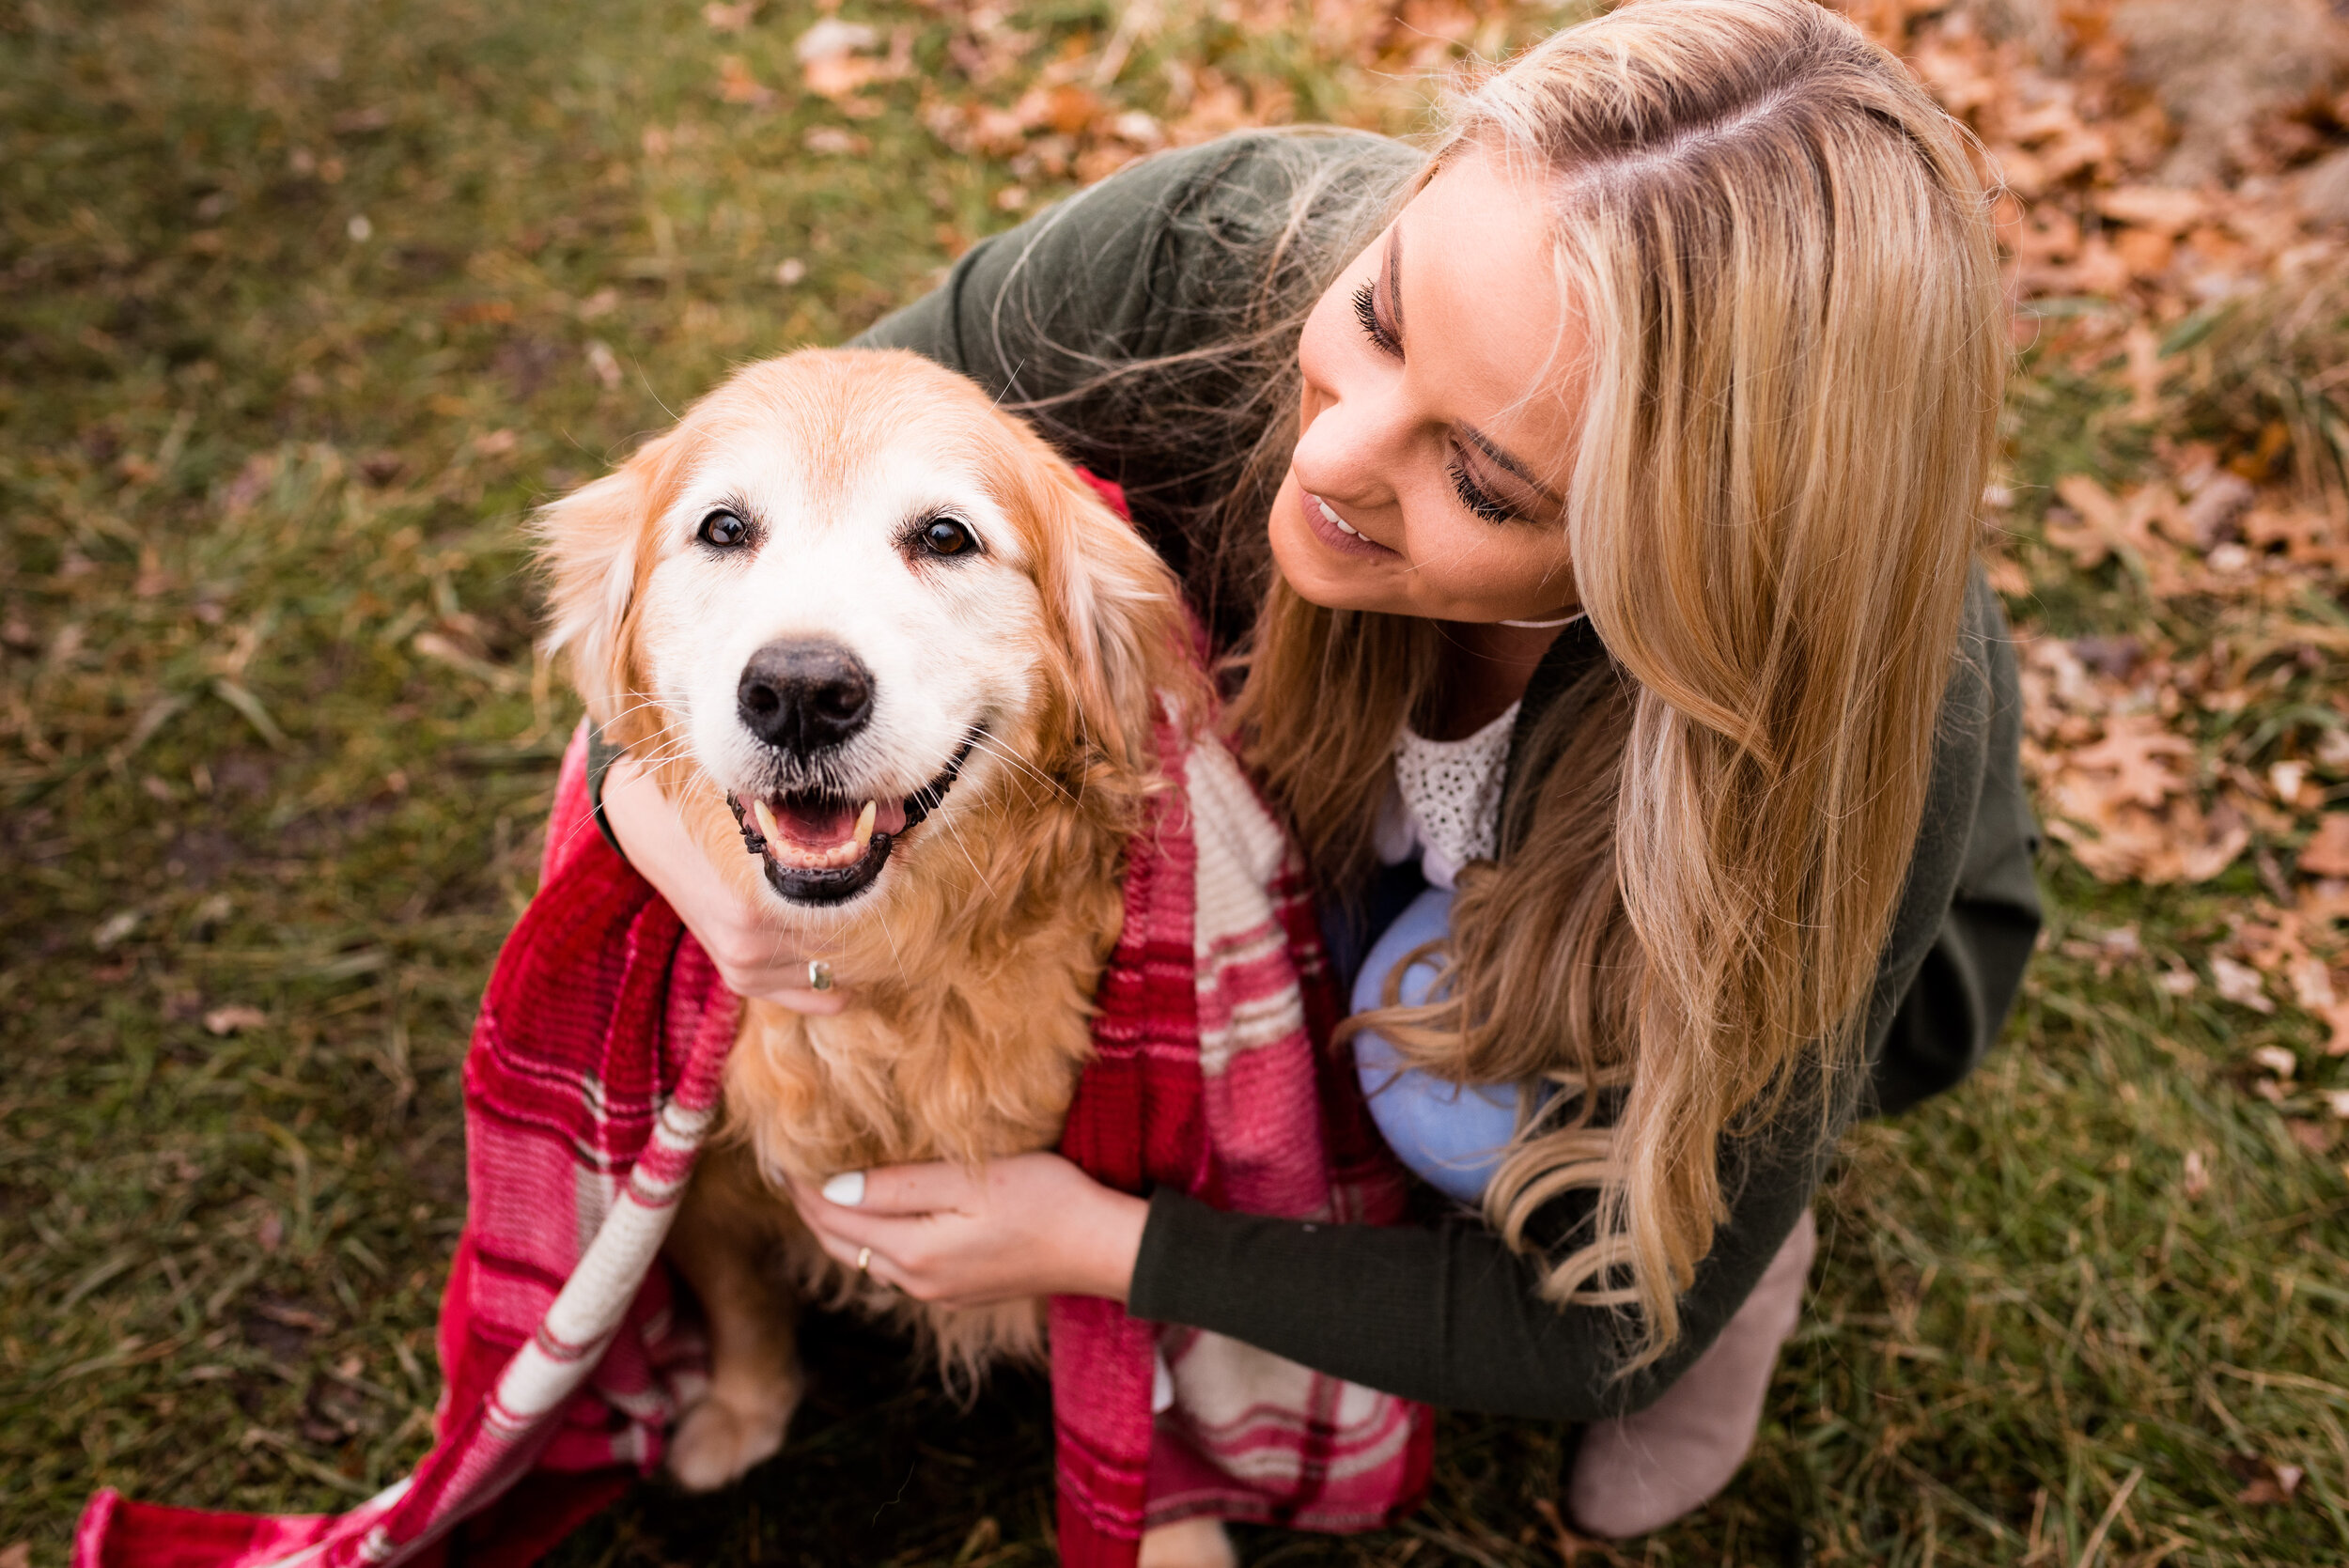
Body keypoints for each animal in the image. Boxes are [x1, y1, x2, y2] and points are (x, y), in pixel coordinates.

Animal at [533, 349, 1231, 1559]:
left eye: (946, 537)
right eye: (723, 528)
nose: (801, 691)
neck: (869, 976)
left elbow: (1139, 1367)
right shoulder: (694, 1154)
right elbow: (735, 1290)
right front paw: (743, 1407)